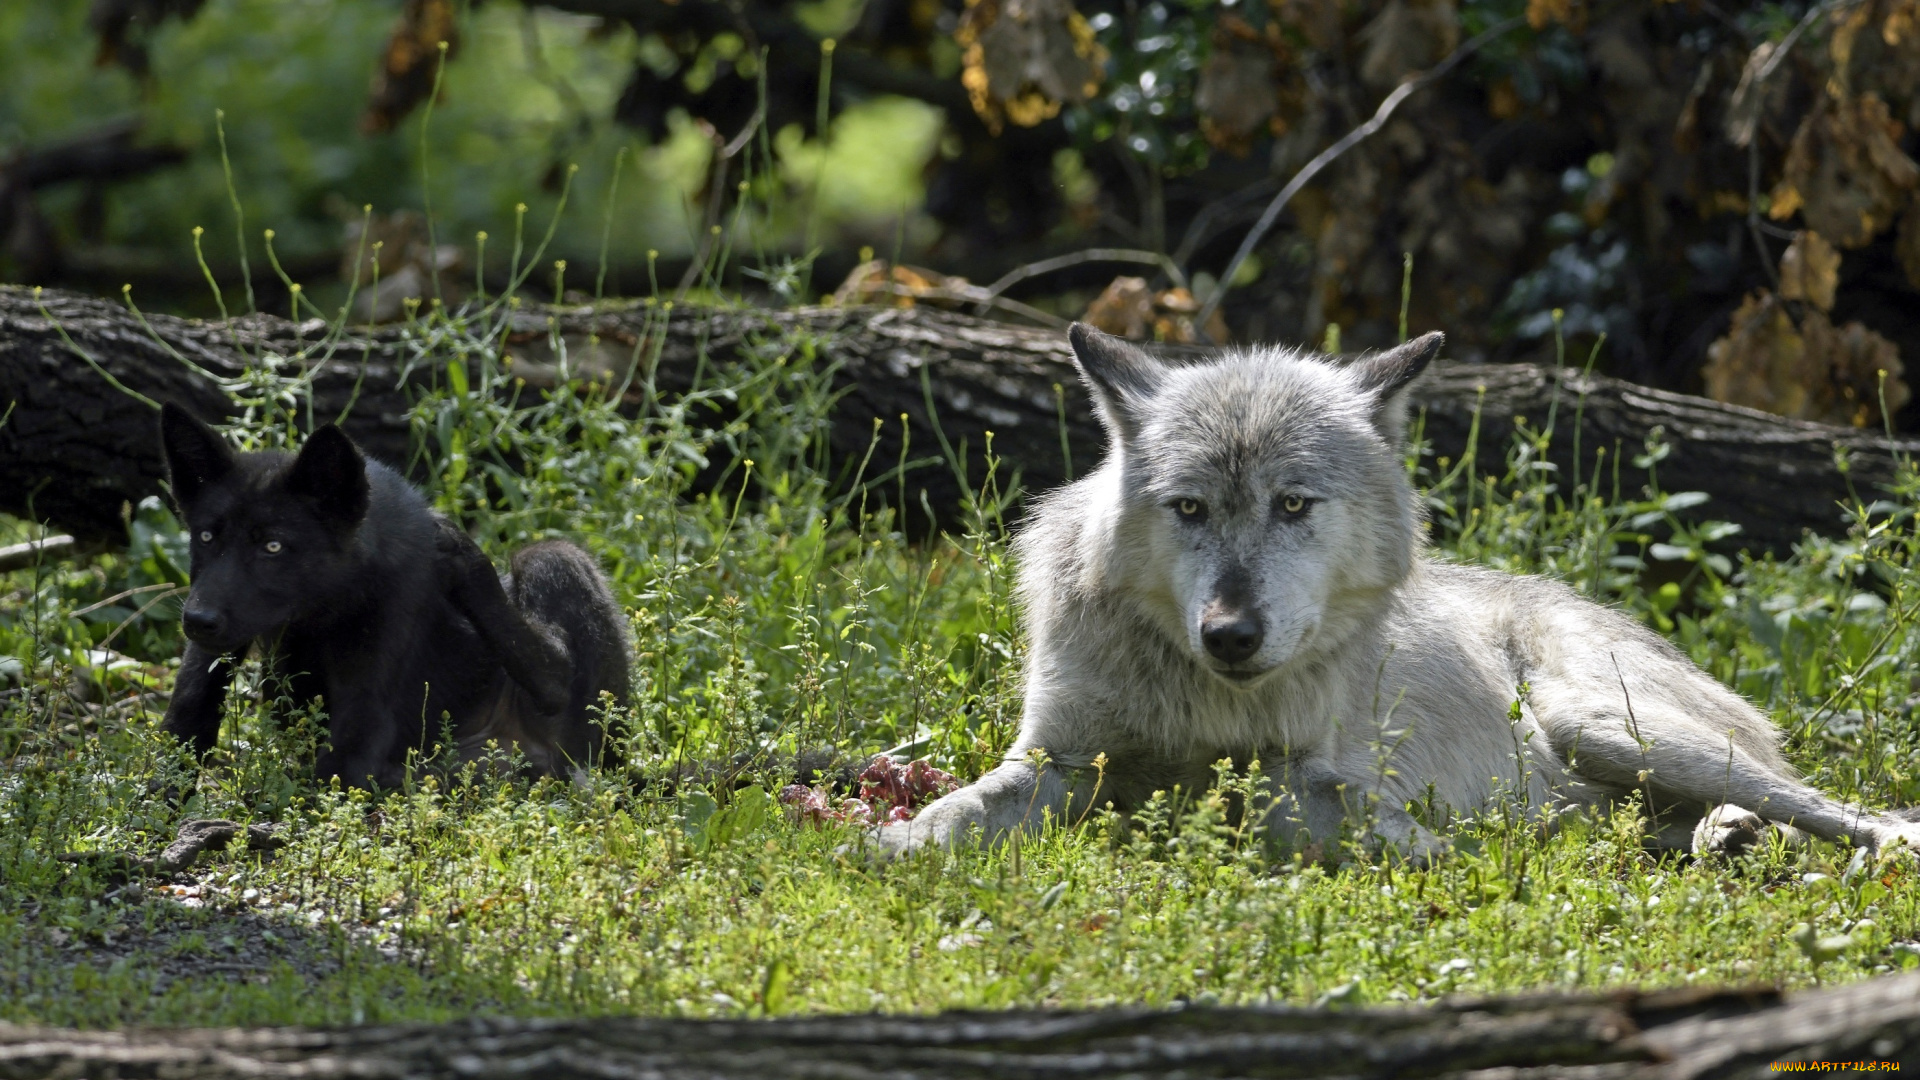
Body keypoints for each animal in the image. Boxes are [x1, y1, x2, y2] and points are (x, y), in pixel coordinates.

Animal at [159, 399, 629, 787]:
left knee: (557, 678)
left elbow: (337, 775)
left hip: (552, 558)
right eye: (205, 537)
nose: (197, 621)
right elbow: (185, 718)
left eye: (272, 546)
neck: (323, 609)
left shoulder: (367, 707)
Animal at [875, 322, 1920, 860]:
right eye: (1191, 508)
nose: (1230, 634)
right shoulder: (1055, 760)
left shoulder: (1317, 779)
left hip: (1598, 723)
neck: (1208, 704)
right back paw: (1721, 838)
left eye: (1294, 503)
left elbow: (1296, 805)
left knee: (1855, 811)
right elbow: (951, 813)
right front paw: (891, 845)